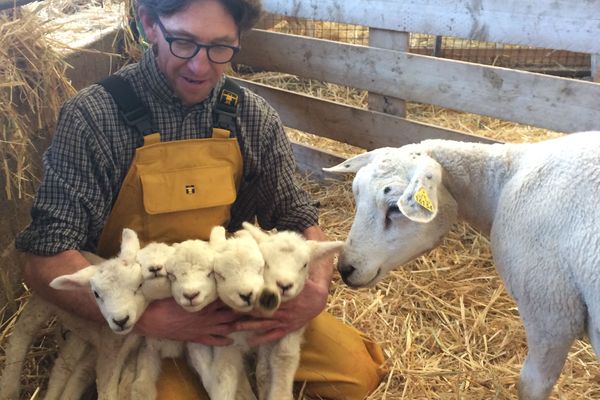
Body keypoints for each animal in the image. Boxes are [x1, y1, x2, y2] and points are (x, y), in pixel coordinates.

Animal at [241, 222, 344, 400]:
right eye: (266, 263)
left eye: (305, 265)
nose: (284, 285)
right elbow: (263, 371)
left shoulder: (296, 320)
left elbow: (283, 356)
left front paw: (279, 394)